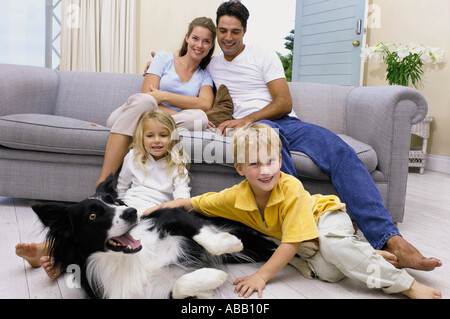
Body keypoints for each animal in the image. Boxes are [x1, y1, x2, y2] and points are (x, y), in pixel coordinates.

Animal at [32, 175, 288, 300]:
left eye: (115, 203)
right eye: (92, 216)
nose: (131, 212)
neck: (126, 259)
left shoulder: (172, 214)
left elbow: (202, 234)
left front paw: (228, 243)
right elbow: (179, 286)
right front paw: (211, 277)